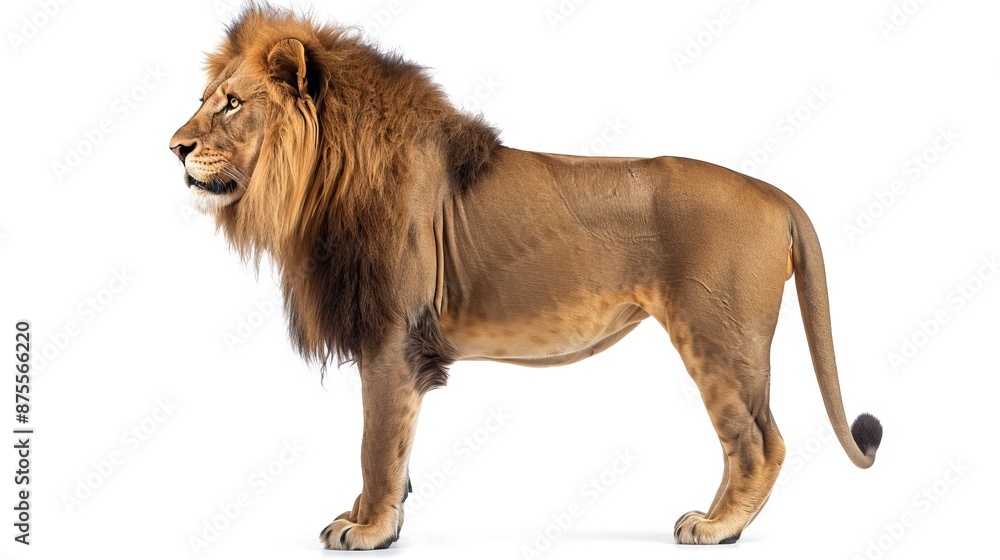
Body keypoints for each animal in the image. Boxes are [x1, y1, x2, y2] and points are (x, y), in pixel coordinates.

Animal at [169, 6, 882, 550]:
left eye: (230, 105)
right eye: (204, 101)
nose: (174, 146)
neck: (320, 180)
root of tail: (775, 194)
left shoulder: (392, 337)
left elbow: (376, 443)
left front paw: (368, 531)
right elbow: (398, 448)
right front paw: (375, 517)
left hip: (719, 336)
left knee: (761, 440)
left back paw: (715, 527)